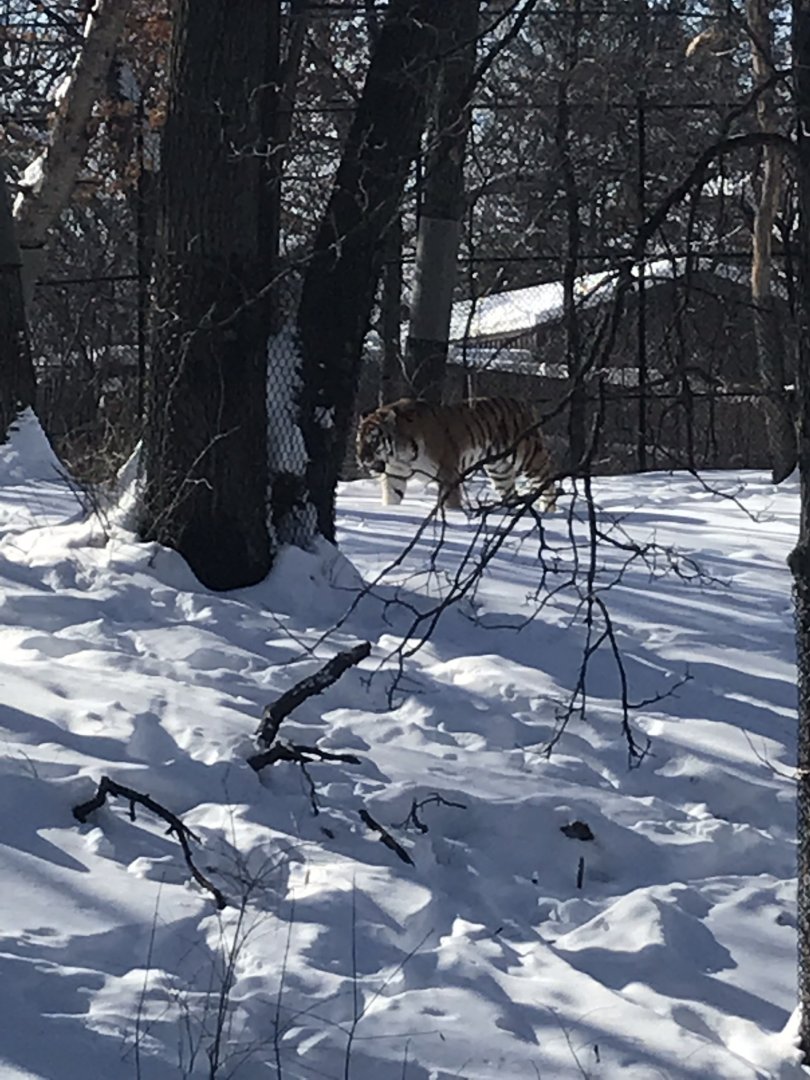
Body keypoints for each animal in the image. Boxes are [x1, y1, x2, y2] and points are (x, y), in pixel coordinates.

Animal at [355, 396, 559, 510]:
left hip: (529, 455)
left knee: (547, 480)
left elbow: (450, 500)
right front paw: (388, 510)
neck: (399, 454)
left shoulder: (448, 471)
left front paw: (453, 514)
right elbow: (392, 497)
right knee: (510, 492)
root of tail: (526, 405)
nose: (362, 459)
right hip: (499, 469)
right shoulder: (395, 475)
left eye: (373, 440)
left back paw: (547, 511)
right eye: (359, 441)